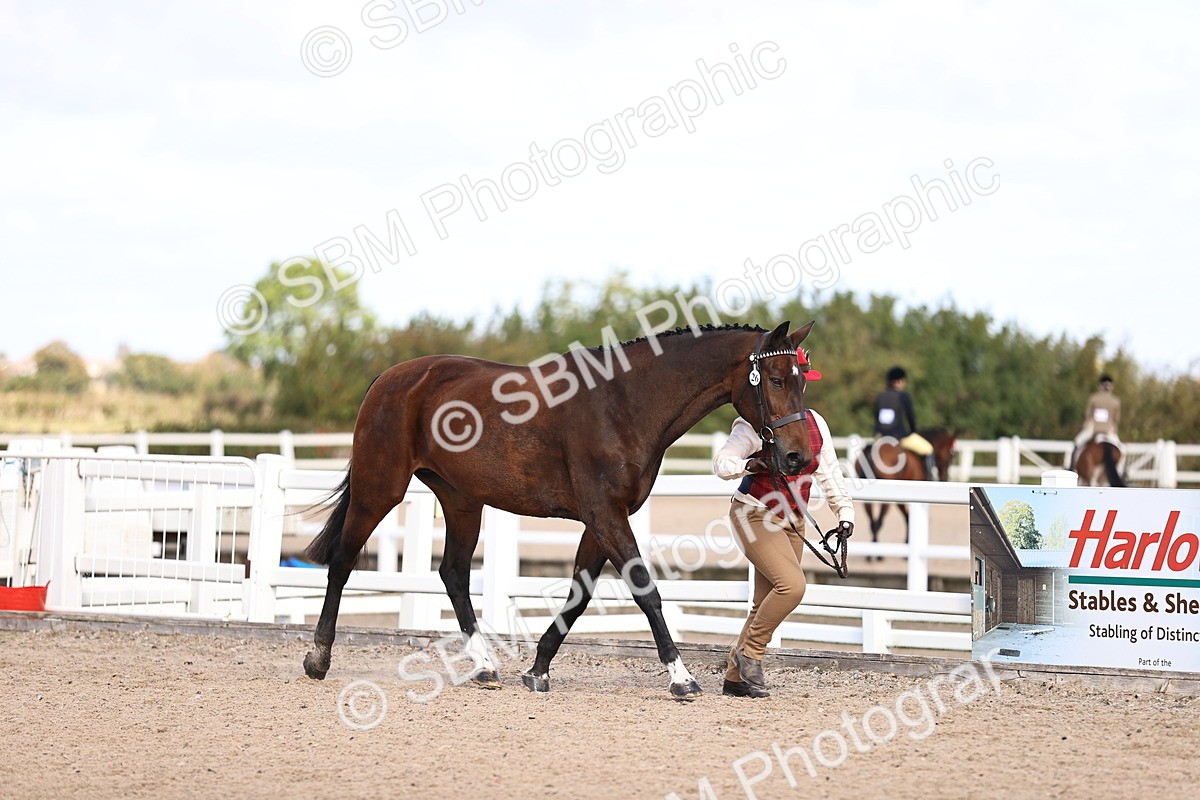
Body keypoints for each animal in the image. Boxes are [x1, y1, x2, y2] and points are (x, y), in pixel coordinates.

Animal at [302, 320, 820, 700]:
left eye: (801, 384)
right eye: (776, 380)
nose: (798, 457)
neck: (625, 404)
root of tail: (392, 378)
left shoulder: (601, 519)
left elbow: (580, 594)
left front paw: (538, 669)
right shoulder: (606, 514)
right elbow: (645, 590)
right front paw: (681, 677)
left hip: (462, 500)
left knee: (453, 574)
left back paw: (486, 667)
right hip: (379, 489)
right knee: (343, 561)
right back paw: (318, 659)